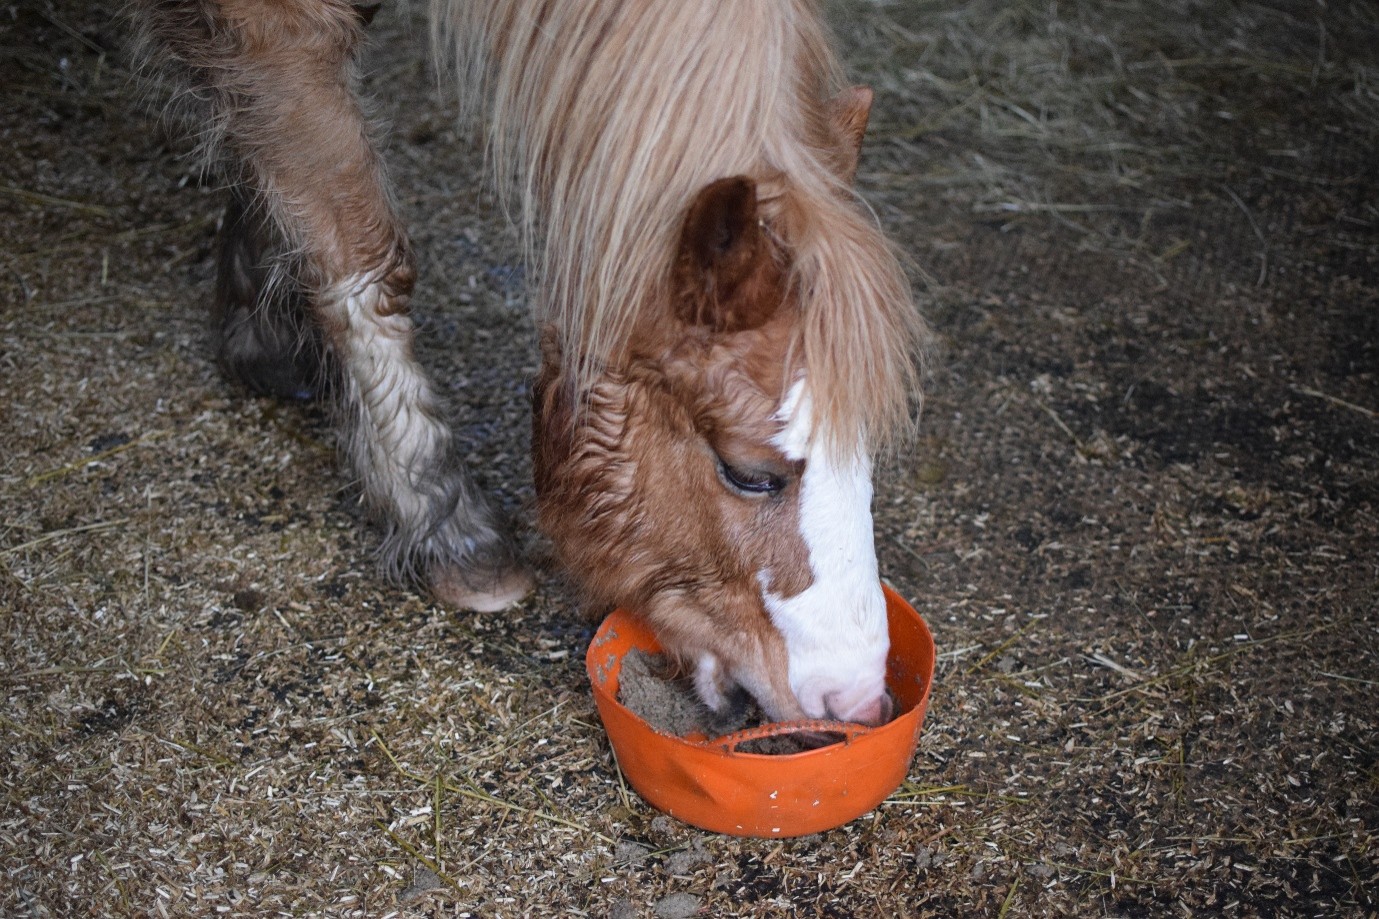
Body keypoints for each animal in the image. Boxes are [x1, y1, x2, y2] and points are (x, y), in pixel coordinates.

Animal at [133, 0, 926, 727]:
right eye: (749, 473)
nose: (857, 702)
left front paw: (260, 325)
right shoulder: (276, 23)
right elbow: (357, 250)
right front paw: (444, 523)